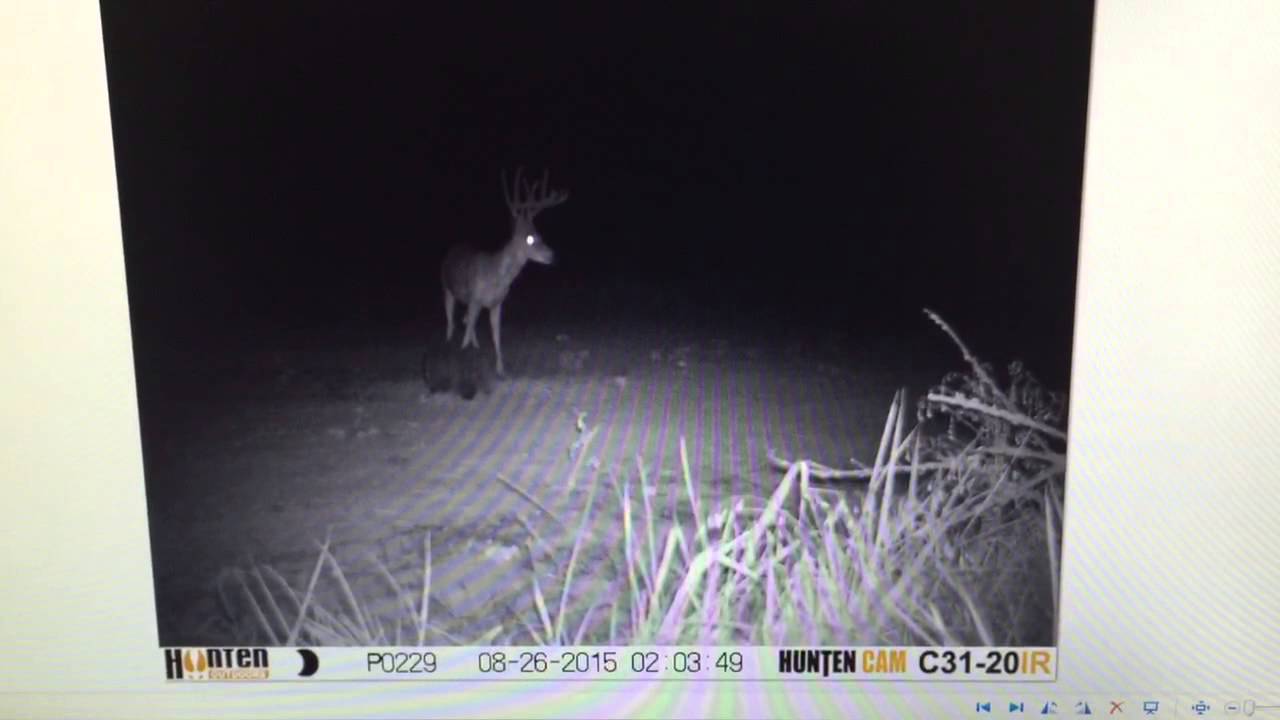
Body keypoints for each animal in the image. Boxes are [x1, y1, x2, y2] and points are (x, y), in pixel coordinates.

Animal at [440, 168, 568, 377]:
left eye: (540, 235)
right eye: (530, 238)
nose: (553, 256)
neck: (497, 276)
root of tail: (452, 249)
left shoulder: (497, 303)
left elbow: (496, 335)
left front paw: (501, 369)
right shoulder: (476, 298)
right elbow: (468, 330)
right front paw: (463, 361)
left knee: (466, 322)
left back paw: (474, 349)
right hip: (447, 288)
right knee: (452, 322)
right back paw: (451, 345)